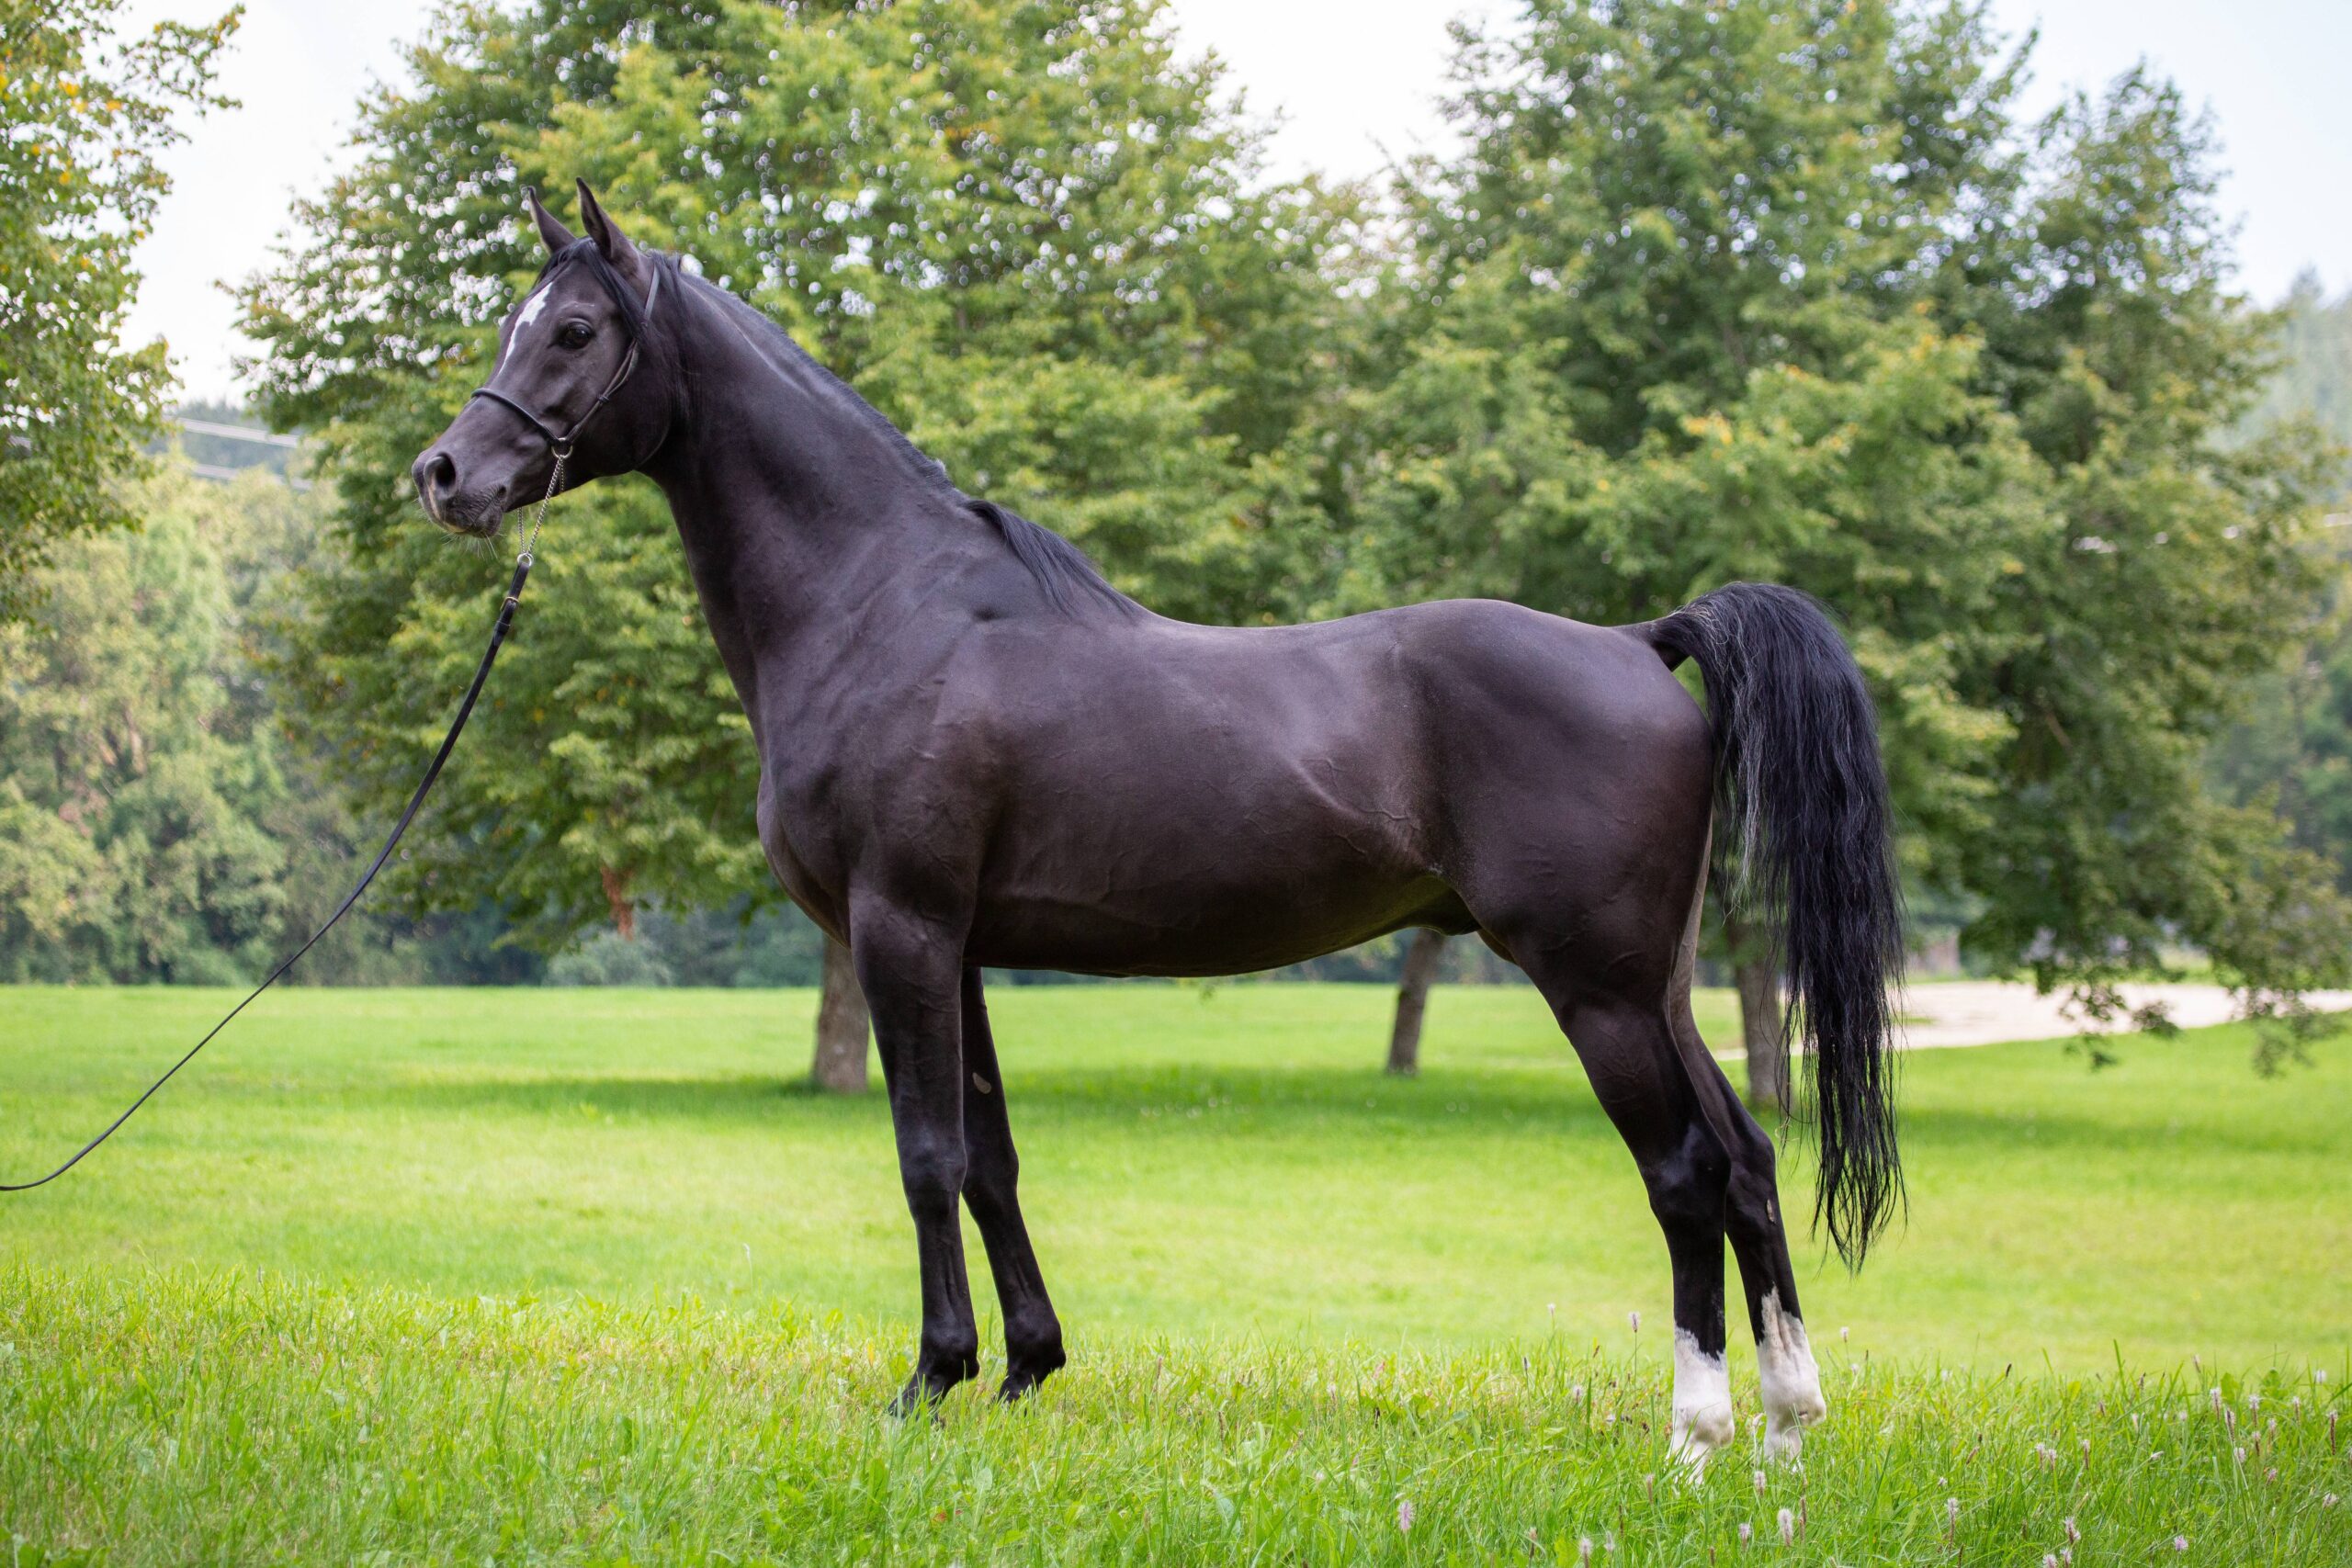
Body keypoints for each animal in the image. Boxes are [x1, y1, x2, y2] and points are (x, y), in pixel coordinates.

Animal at [411, 181, 1903, 1469]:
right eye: (515, 321)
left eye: (575, 330)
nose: (444, 475)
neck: (885, 603)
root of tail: (1638, 640)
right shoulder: (958, 946)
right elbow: (992, 1159)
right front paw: (1025, 1367)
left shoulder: (901, 928)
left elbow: (926, 1156)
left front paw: (931, 1380)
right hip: (1657, 982)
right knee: (1750, 1157)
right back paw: (1785, 1426)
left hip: (1593, 985)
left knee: (1685, 1171)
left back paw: (1696, 1435)